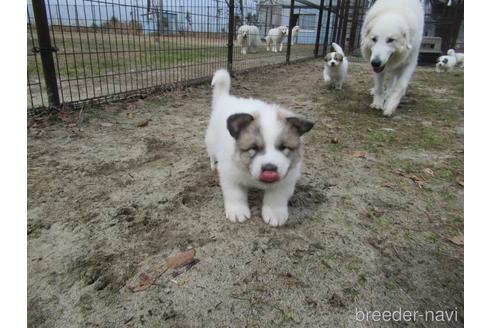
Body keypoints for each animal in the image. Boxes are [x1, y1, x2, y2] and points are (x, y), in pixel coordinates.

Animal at [205, 68, 314, 228]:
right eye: (254, 148)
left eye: (283, 147)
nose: (269, 168)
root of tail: (226, 98)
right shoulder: (230, 173)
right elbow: (235, 194)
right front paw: (237, 212)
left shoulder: (287, 178)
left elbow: (277, 197)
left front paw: (275, 214)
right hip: (212, 141)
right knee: (212, 154)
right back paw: (213, 165)